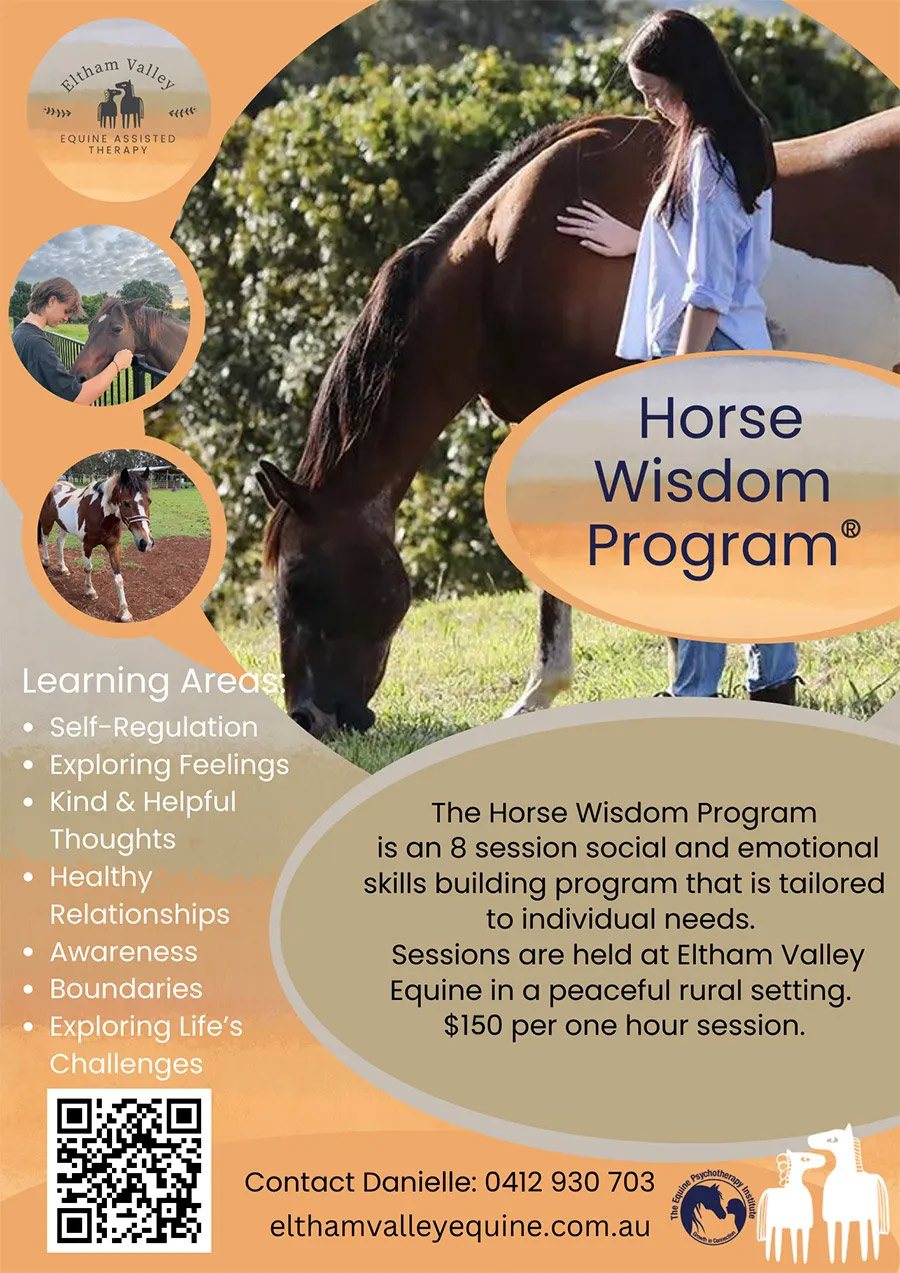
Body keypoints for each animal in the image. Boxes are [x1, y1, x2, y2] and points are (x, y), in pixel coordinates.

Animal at [38, 468, 154, 622]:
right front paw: (90, 591)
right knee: (45, 539)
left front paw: (125, 613)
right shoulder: (86, 545)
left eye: (149, 501)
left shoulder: (114, 547)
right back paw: (46, 561)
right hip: (47, 521)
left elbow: (119, 579)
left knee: (59, 542)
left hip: (64, 525)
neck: (100, 514)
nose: (146, 542)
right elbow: (88, 568)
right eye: (126, 503)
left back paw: (63, 568)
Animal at [808, 1124, 890, 1263]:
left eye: (833, 1139)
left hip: (871, 1217)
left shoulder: (852, 1218)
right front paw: (835, 1260)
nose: (809, 1138)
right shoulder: (832, 1220)